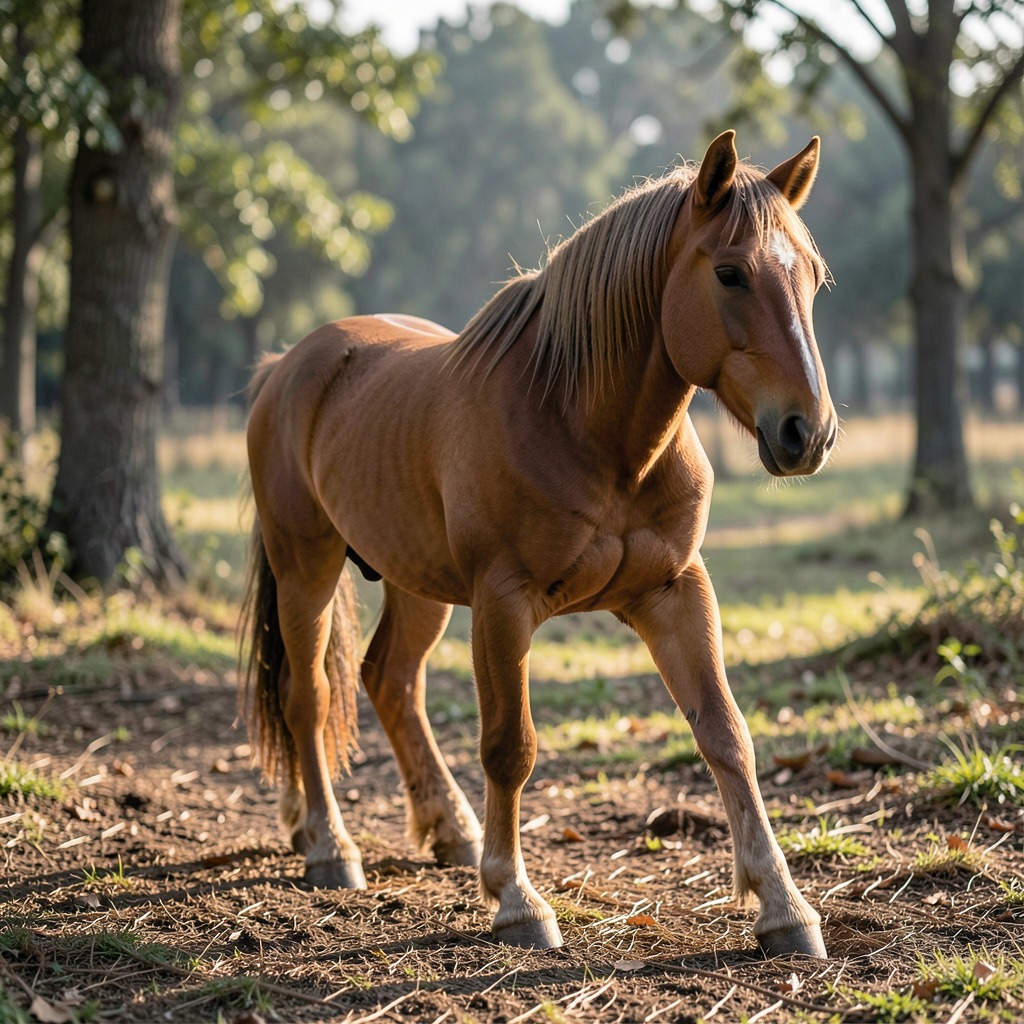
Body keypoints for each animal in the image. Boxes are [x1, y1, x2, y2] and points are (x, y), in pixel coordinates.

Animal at [240, 130, 837, 958]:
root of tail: (285, 367)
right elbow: (509, 746)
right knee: (310, 696)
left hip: (416, 585)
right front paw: (518, 900)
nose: (807, 433)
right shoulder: (503, 603)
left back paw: (447, 830)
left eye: (813, 276)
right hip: (308, 566)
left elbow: (727, 735)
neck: (585, 425)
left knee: (390, 681)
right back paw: (330, 846)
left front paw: (785, 908)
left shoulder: (677, 592)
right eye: (730, 272)